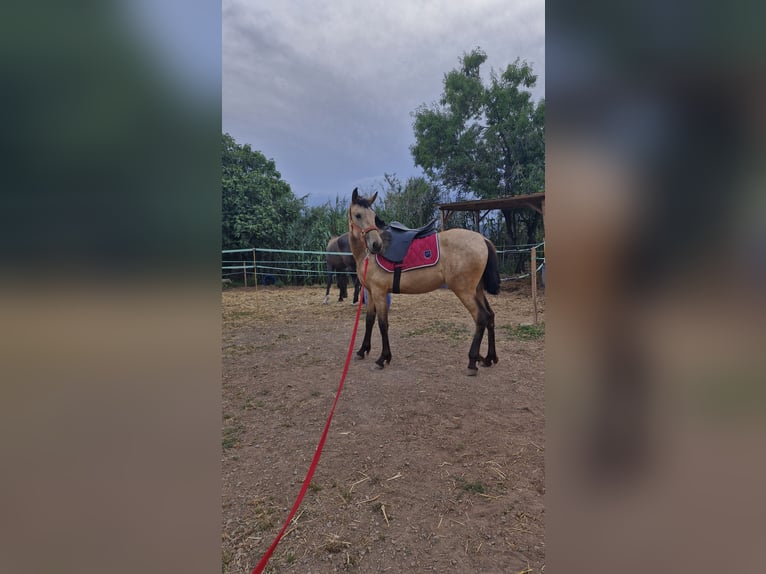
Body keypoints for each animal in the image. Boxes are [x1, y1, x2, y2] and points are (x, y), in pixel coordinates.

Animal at [347, 187, 500, 376]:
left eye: (373, 215)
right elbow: (369, 320)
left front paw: (382, 358)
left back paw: (472, 361)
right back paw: (489, 358)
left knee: (481, 317)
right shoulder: (370, 292)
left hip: (464, 291)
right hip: (476, 290)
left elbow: (383, 324)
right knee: (490, 316)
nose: (376, 245)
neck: (367, 255)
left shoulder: (379, 292)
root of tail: (482, 239)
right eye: (358, 215)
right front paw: (362, 350)